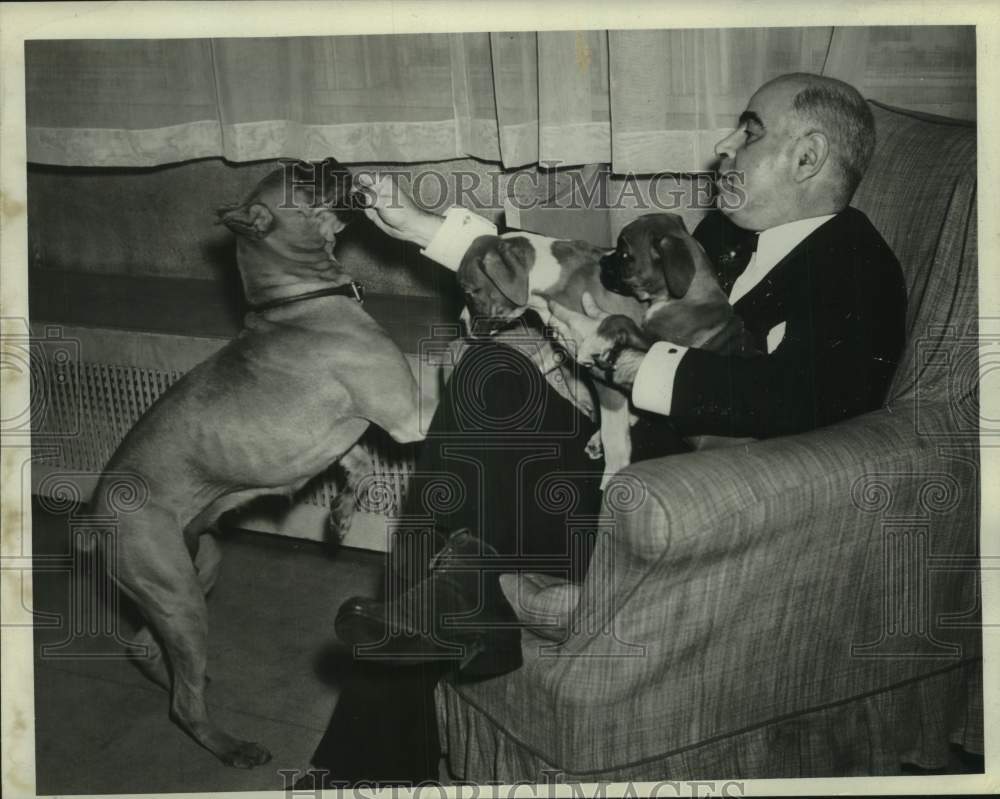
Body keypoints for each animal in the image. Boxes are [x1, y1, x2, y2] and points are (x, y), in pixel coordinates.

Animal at [89, 158, 426, 768]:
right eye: (305, 177)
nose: (336, 161)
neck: (297, 303)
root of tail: (92, 515)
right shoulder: (407, 416)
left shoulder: (352, 438)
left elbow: (361, 468)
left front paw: (343, 516)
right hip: (180, 599)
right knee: (185, 706)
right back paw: (230, 747)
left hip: (193, 574)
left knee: (150, 652)